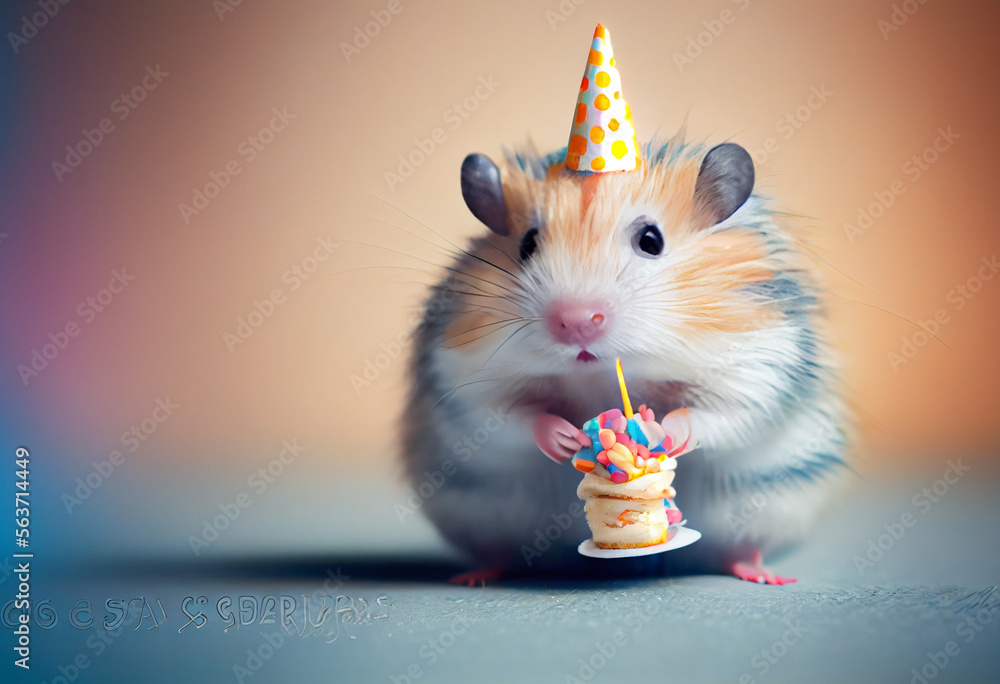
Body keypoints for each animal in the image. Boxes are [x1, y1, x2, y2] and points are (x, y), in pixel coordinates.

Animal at [401, 136, 848, 583]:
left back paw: (764, 574)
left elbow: (715, 414)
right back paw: (476, 576)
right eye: (527, 244)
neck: (598, 375)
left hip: (768, 508)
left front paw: (662, 430)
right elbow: (513, 418)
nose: (577, 323)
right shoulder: (465, 378)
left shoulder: (761, 365)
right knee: (499, 552)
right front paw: (567, 439)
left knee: (741, 549)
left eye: (651, 240)